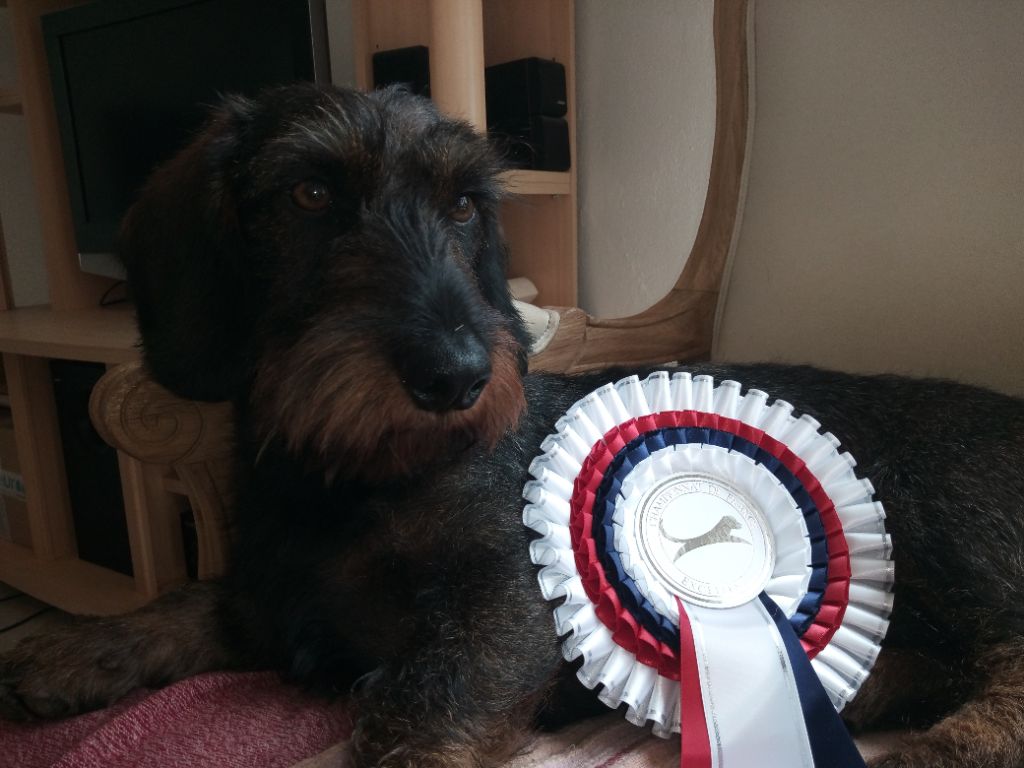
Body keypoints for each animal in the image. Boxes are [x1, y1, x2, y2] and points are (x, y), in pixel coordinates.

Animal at [1, 83, 1023, 768]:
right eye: (309, 194)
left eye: (463, 204)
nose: (457, 376)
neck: (353, 478)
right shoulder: (272, 602)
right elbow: (185, 605)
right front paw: (70, 650)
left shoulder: (505, 610)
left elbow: (421, 707)